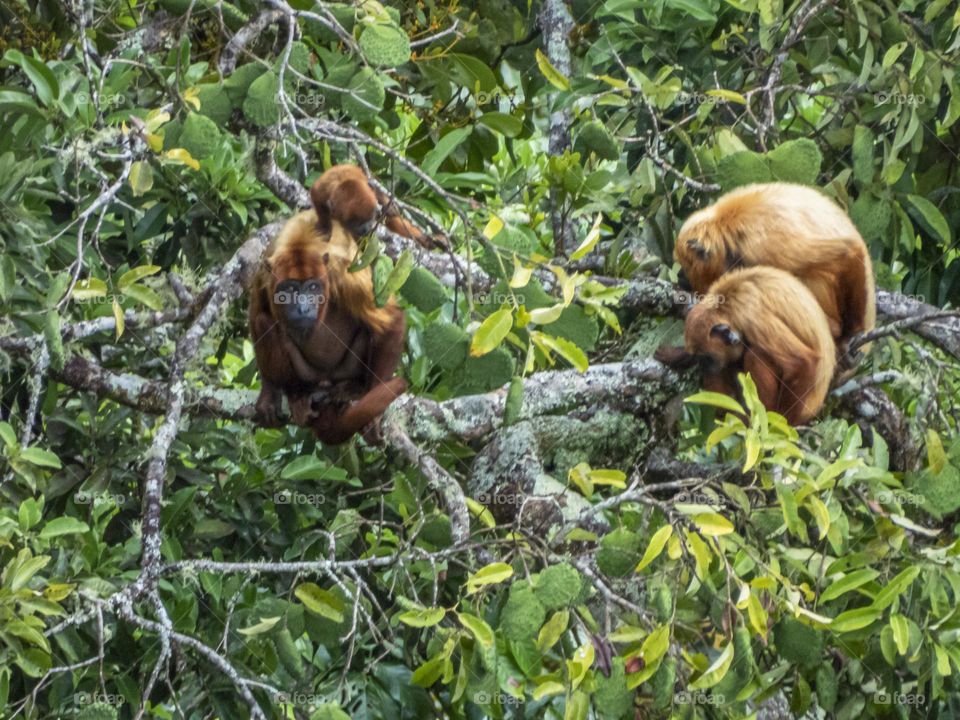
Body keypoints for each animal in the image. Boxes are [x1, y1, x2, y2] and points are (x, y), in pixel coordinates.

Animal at [664, 266, 836, 424]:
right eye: (699, 358)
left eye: (706, 358)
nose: (704, 366)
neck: (726, 308)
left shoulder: (750, 316)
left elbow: (802, 362)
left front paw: (779, 423)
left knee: (755, 355)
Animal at [676, 183, 876, 352]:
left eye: (686, 267)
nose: (680, 276)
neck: (727, 226)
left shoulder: (763, 244)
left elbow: (848, 252)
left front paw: (852, 335)